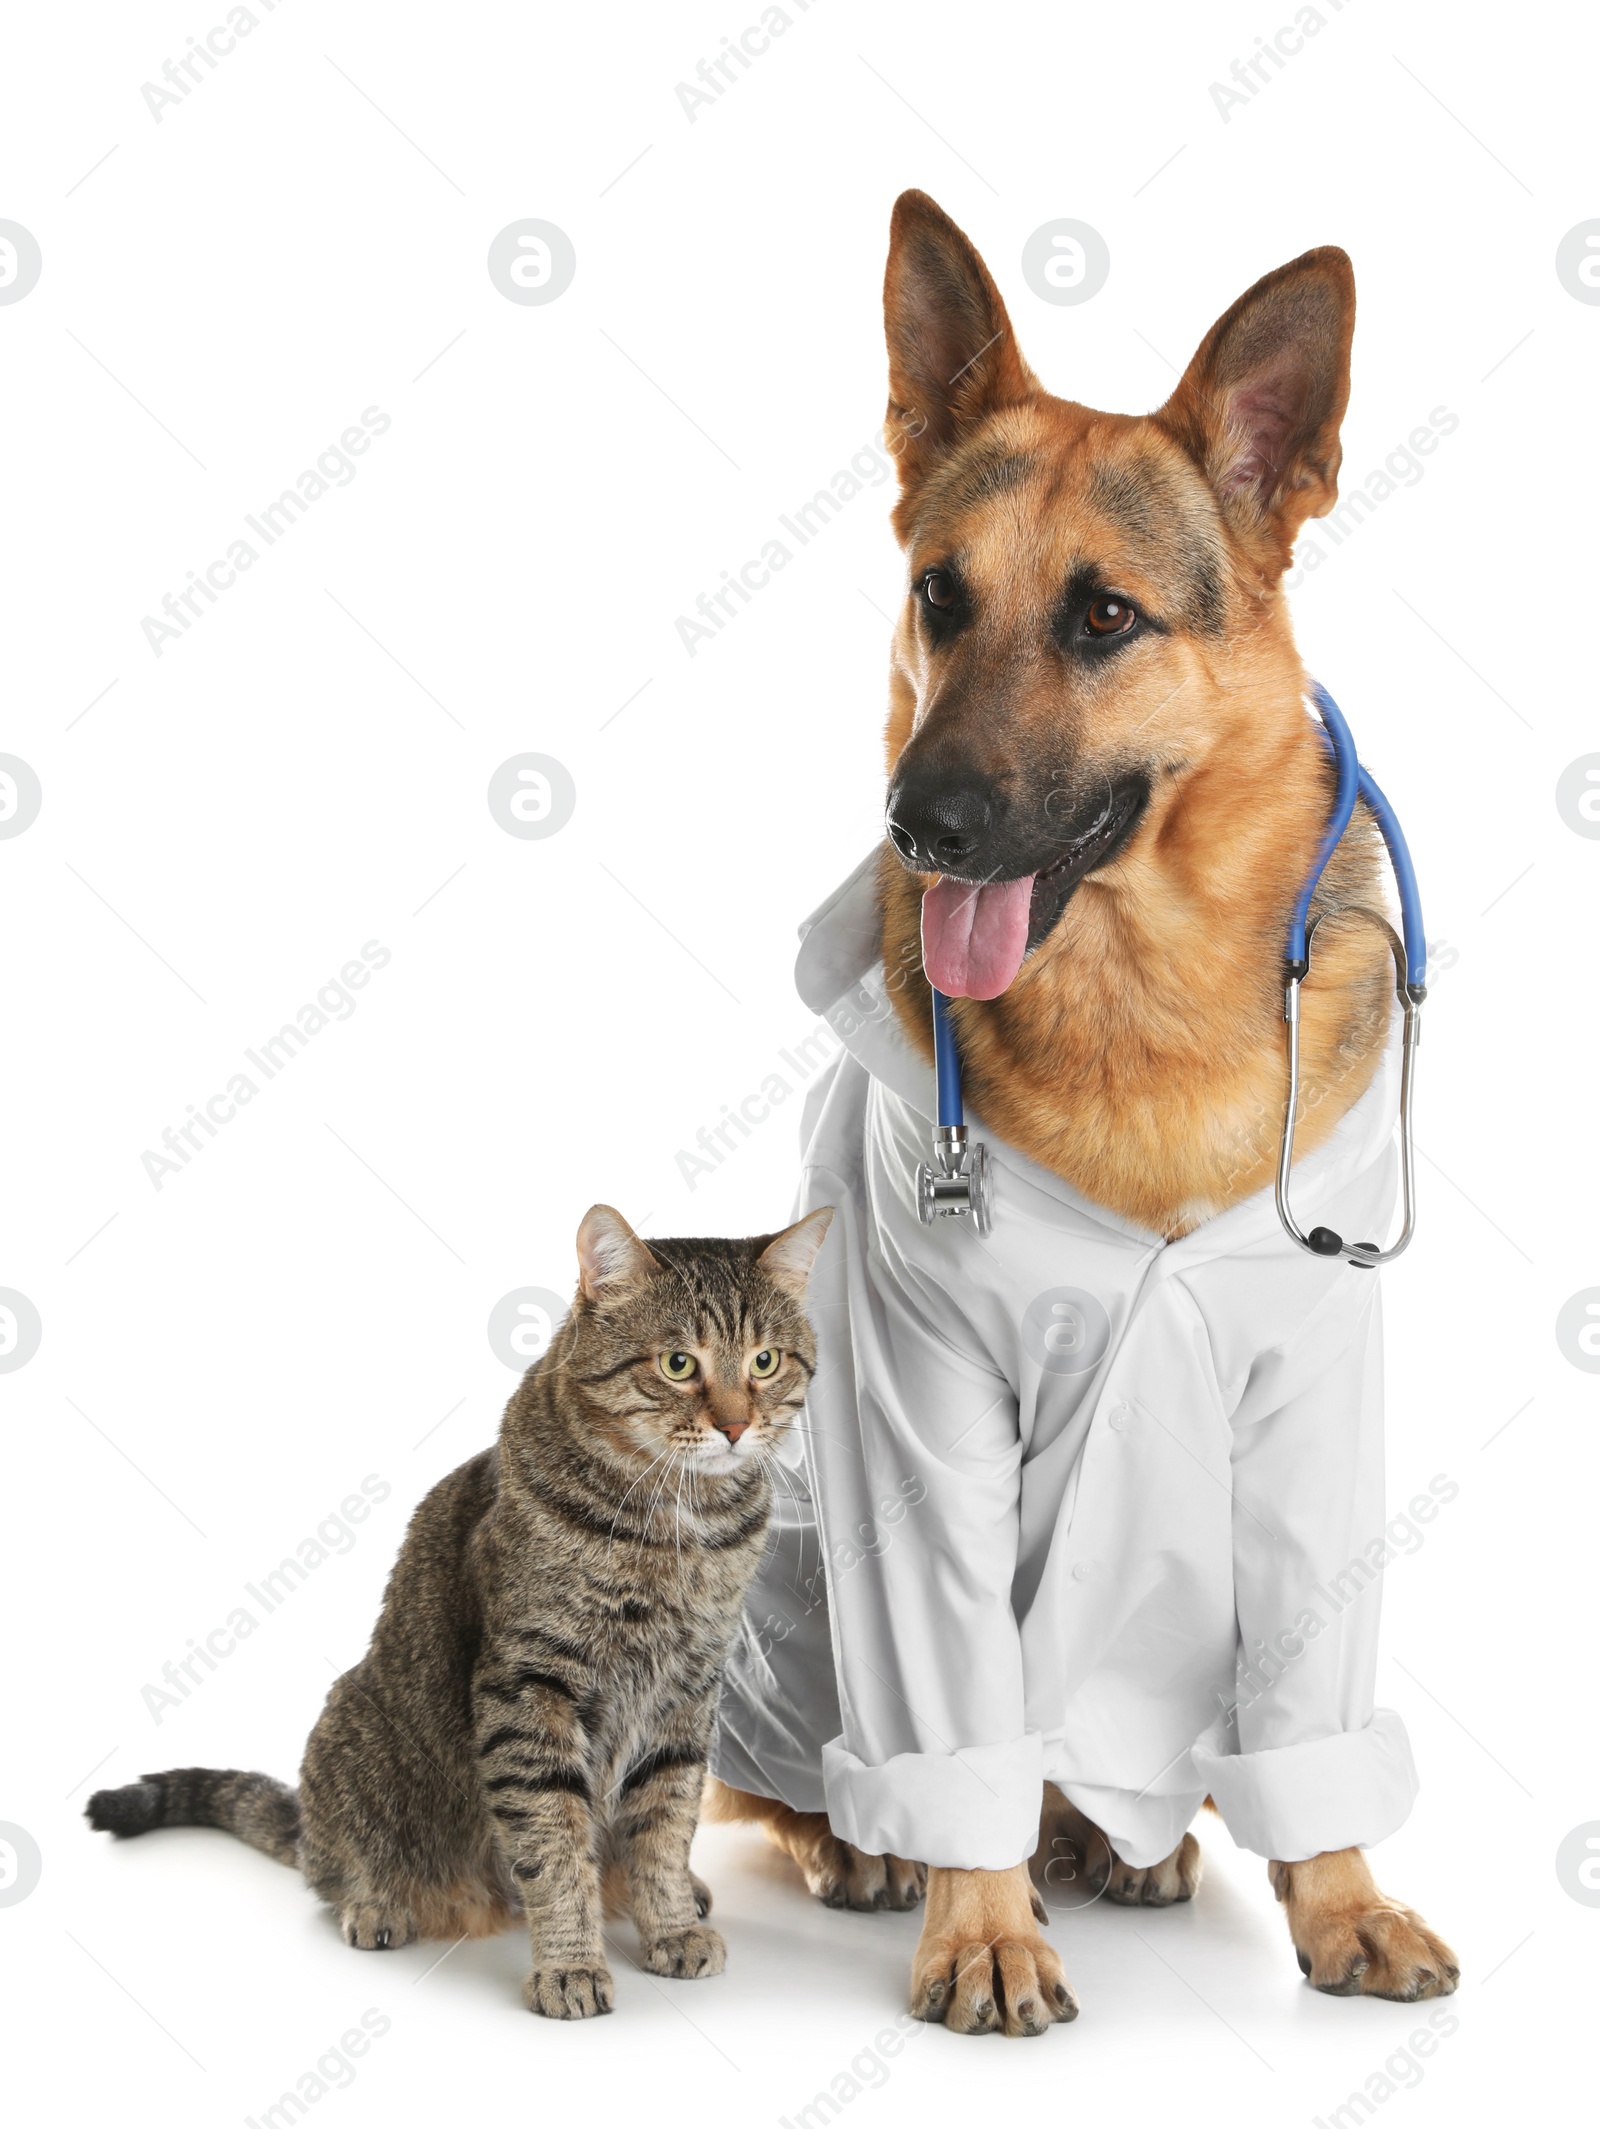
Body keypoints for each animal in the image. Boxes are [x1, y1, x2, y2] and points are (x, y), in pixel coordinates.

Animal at [84, 1209, 838, 2018]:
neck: (681, 1525)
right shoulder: (530, 1685)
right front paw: (570, 1963)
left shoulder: (689, 1688)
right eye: (676, 1364)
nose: (735, 1425)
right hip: (352, 1724)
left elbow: (665, 1825)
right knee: (333, 1867)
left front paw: (667, 1922)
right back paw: (377, 1902)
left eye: (764, 1361)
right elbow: (553, 1841)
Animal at [706, 195, 1455, 2026]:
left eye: (1105, 617)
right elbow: (949, 1699)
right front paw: (978, 1926)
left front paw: (1342, 1899)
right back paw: (879, 1845)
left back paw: (1115, 1839)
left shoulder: (1310, 1398)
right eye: (939, 596)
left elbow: (1311, 1692)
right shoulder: (913, 1400)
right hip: (791, 1589)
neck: (1140, 993)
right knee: (804, 1774)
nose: (923, 826)